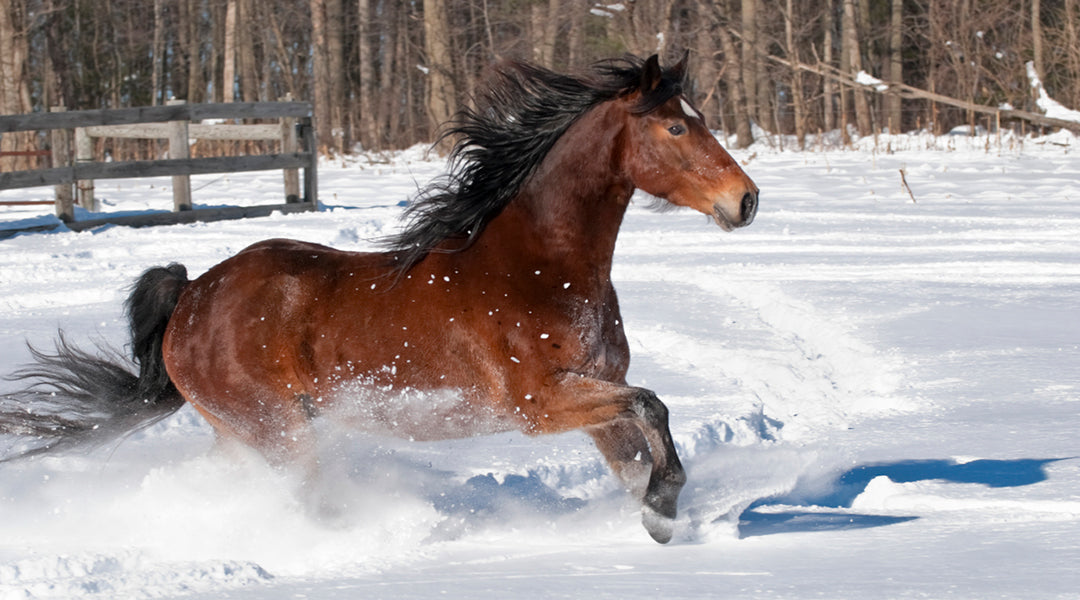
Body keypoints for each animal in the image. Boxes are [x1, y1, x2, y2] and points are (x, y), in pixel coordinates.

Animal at [0, 55, 756, 543]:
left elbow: (637, 450)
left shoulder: (596, 394)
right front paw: (665, 504)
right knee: (306, 499)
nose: (745, 200)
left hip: (245, 433)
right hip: (277, 429)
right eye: (676, 128)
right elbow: (654, 406)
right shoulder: (541, 404)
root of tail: (190, 296)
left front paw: (661, 520)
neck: (541, 270)